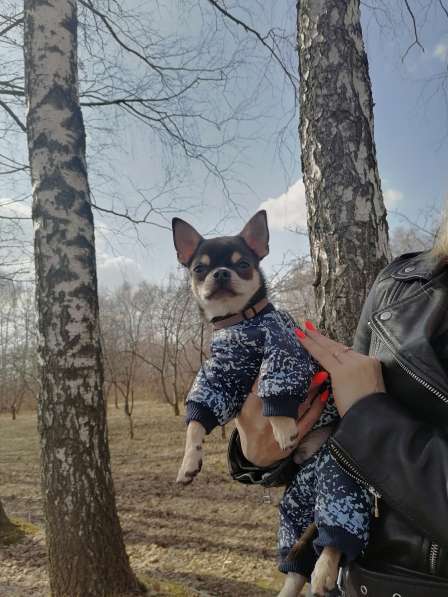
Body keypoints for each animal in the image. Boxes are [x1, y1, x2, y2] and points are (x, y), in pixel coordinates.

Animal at [172, 212, 372, 592]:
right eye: (199, 269)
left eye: (244, 264)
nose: (221, 273)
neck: (242, 324)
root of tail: (311, 458)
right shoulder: (219, 375)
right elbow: (196, 420)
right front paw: (189, 462)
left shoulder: (286, 351)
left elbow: (277, 392)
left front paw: (281, 428)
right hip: (296, 496)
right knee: (297, 555)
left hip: (339, 472)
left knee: (335, 528)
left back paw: (325, 570)